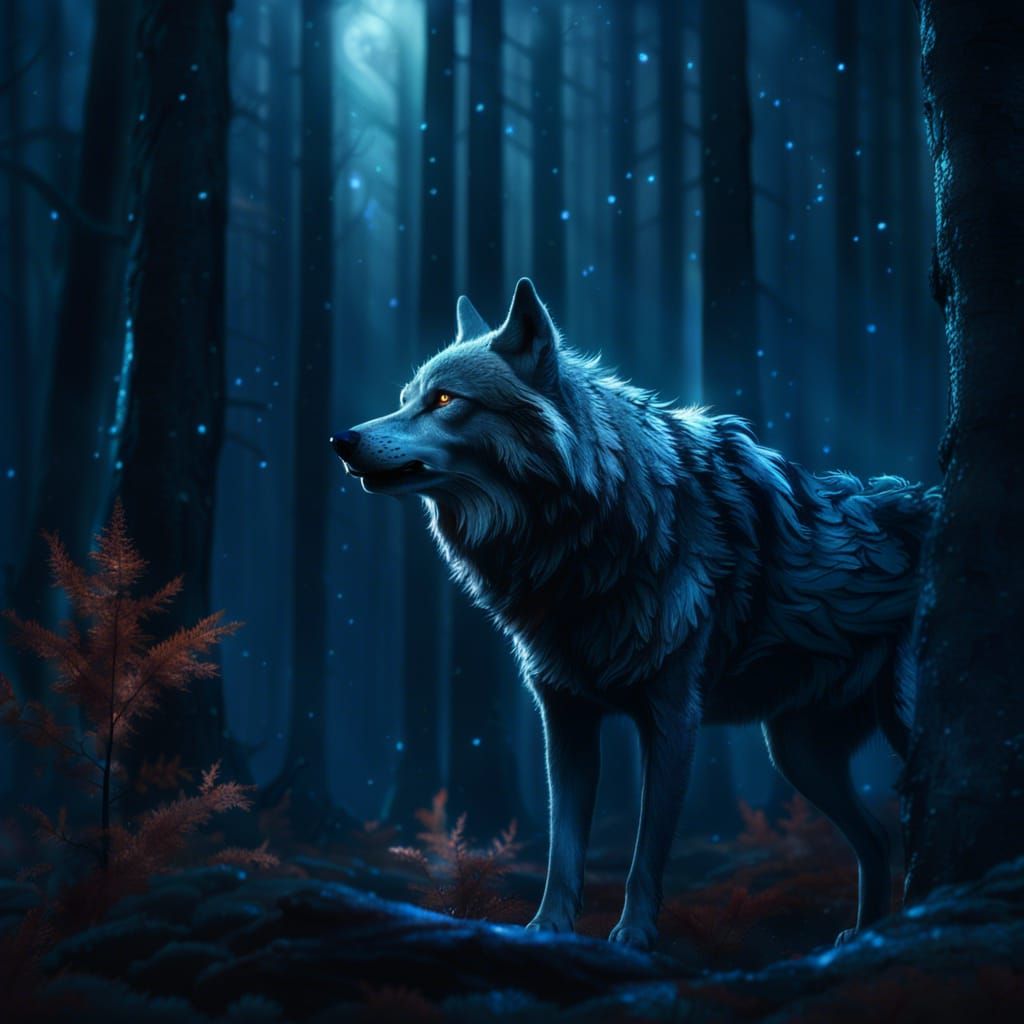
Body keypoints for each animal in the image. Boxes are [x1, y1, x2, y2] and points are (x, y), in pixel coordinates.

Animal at [332, 278, 938, 951]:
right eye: (404, 399)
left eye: (443, 399)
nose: (342, 440)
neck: (587, 531)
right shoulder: (565, 715)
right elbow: (563, 848)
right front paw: (547, 928)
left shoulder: (673, 717)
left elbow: (647, 851)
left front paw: (634, 935)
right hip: (796, 752)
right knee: (877, 837)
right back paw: (867, 934)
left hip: (898, 727)